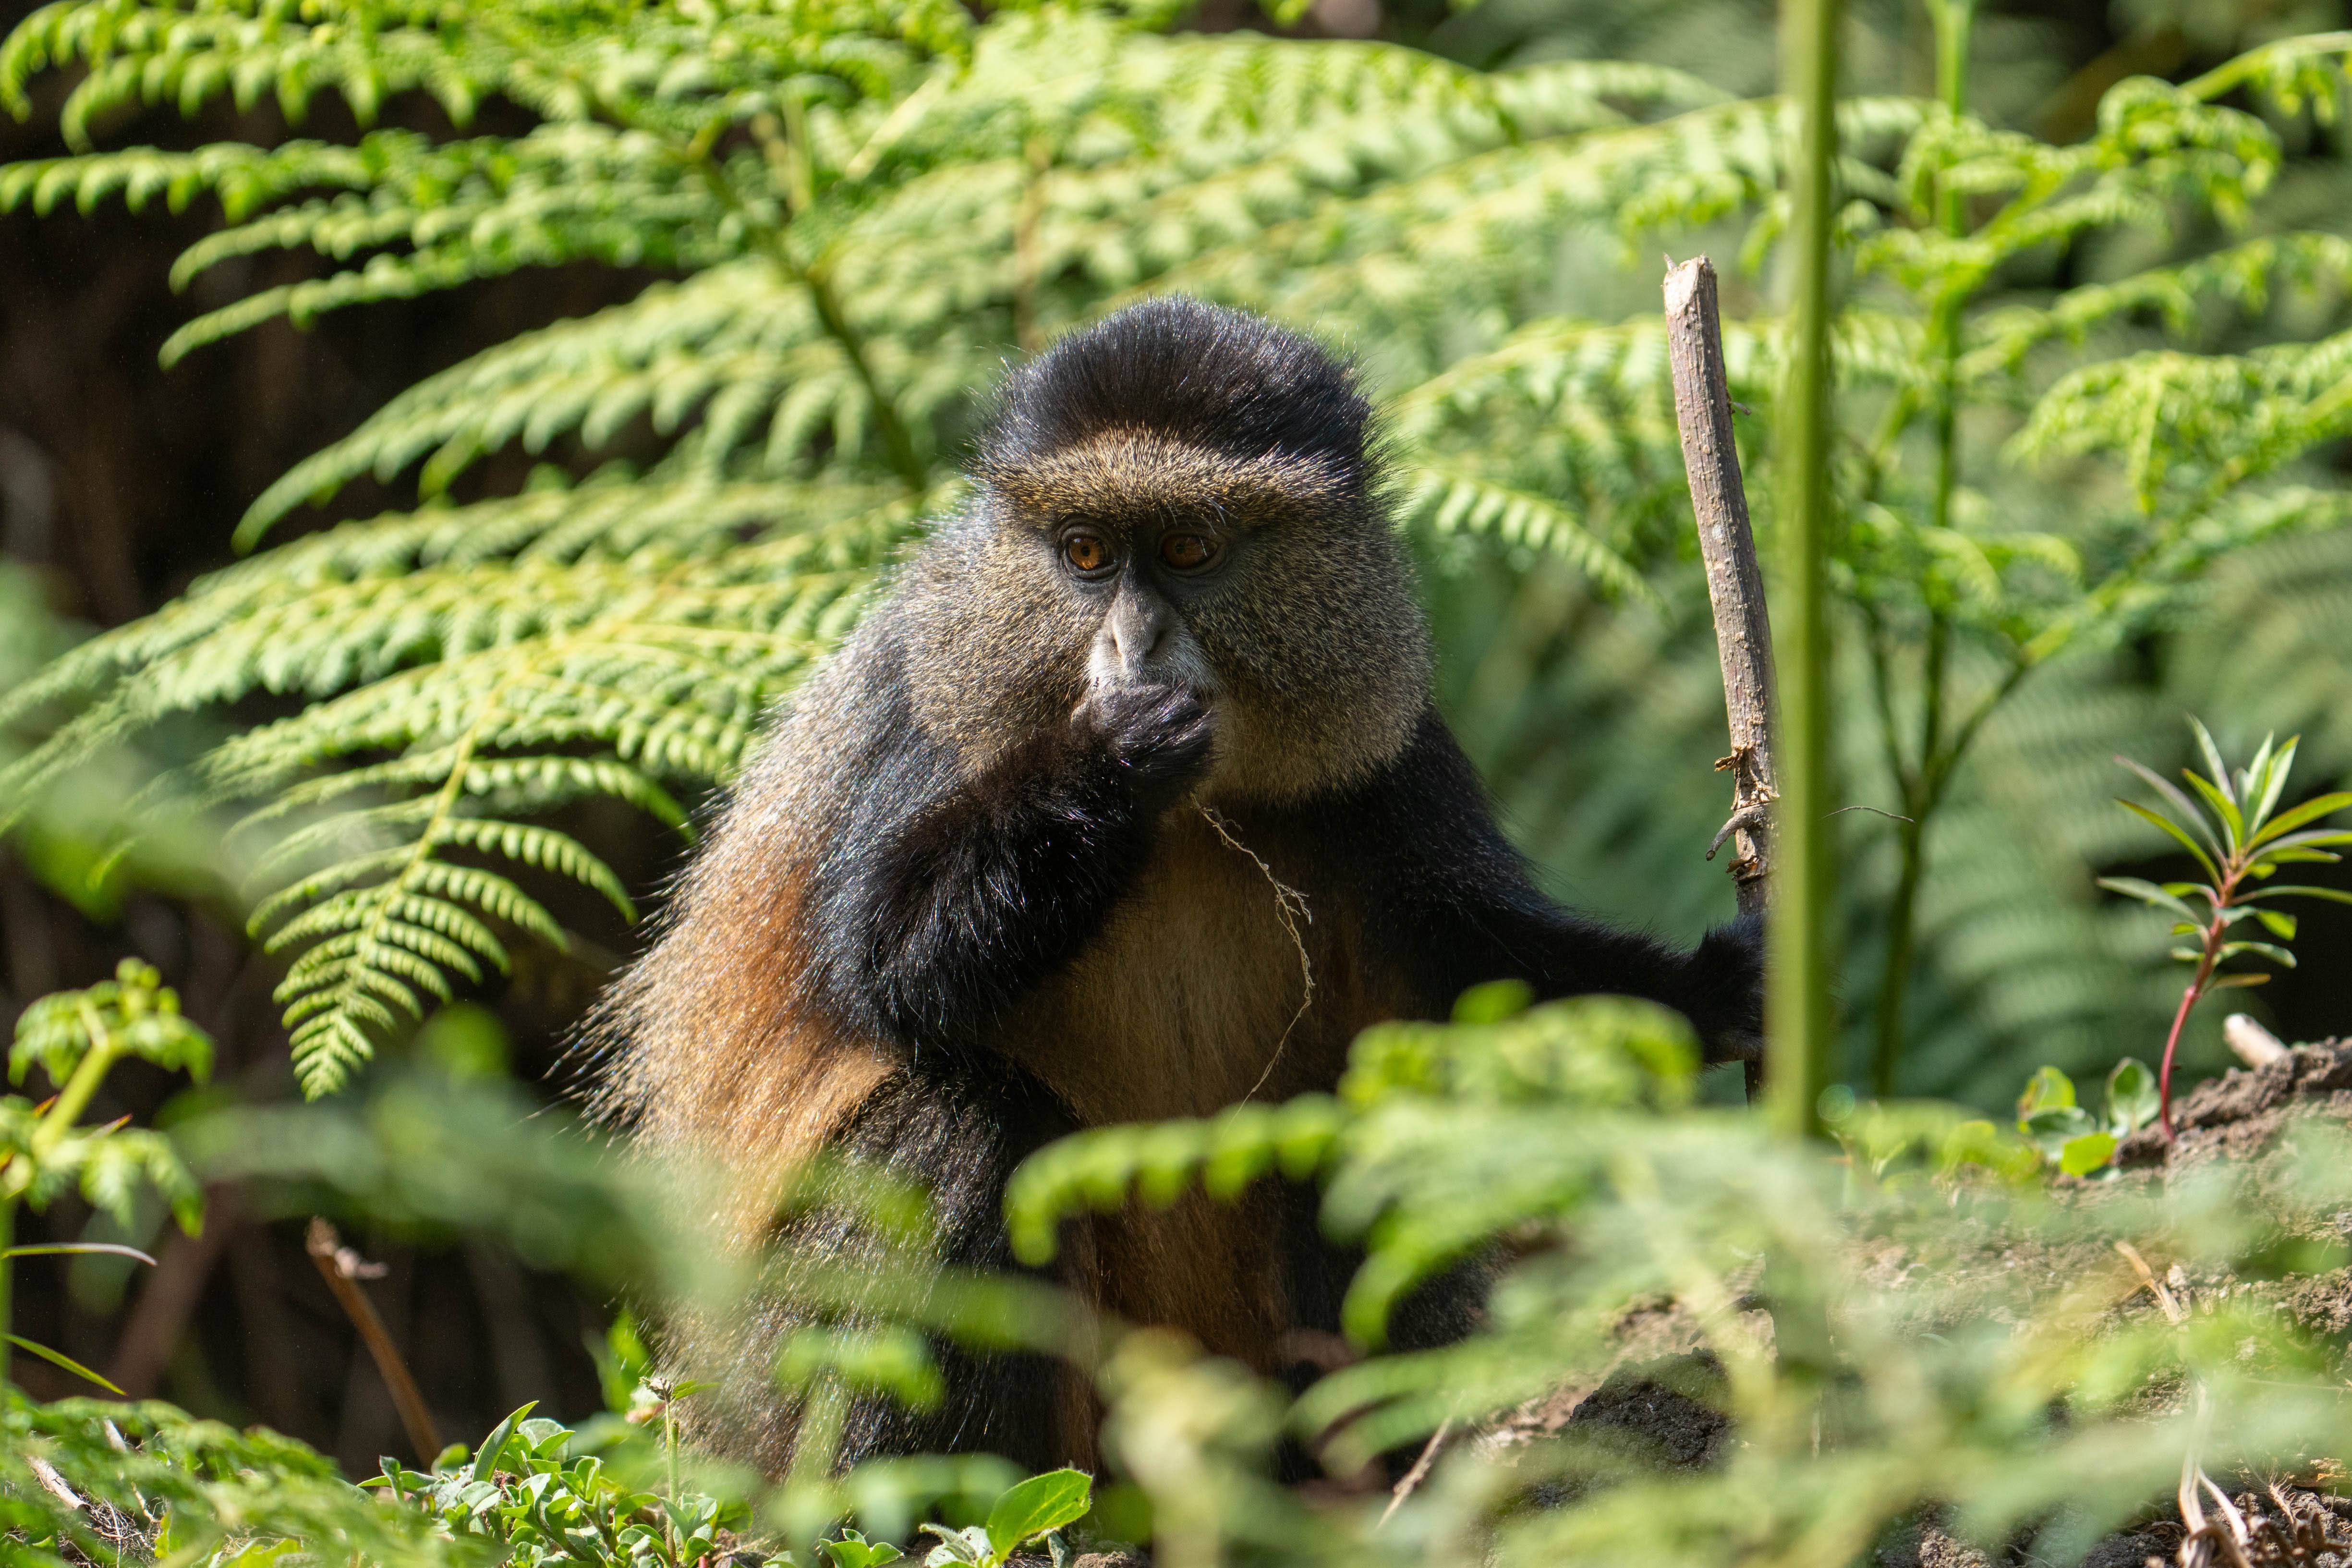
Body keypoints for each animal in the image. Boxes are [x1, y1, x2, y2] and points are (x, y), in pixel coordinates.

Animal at [589, 295, 1763, 1477]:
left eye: (1192, 549)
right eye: (1086, 552)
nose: (1135, 642)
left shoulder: (1392, 753)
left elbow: (1463, 970)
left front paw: (1717, 988)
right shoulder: (922, 713)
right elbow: (882, 964)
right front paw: (1112, 758)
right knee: (953, 1124)